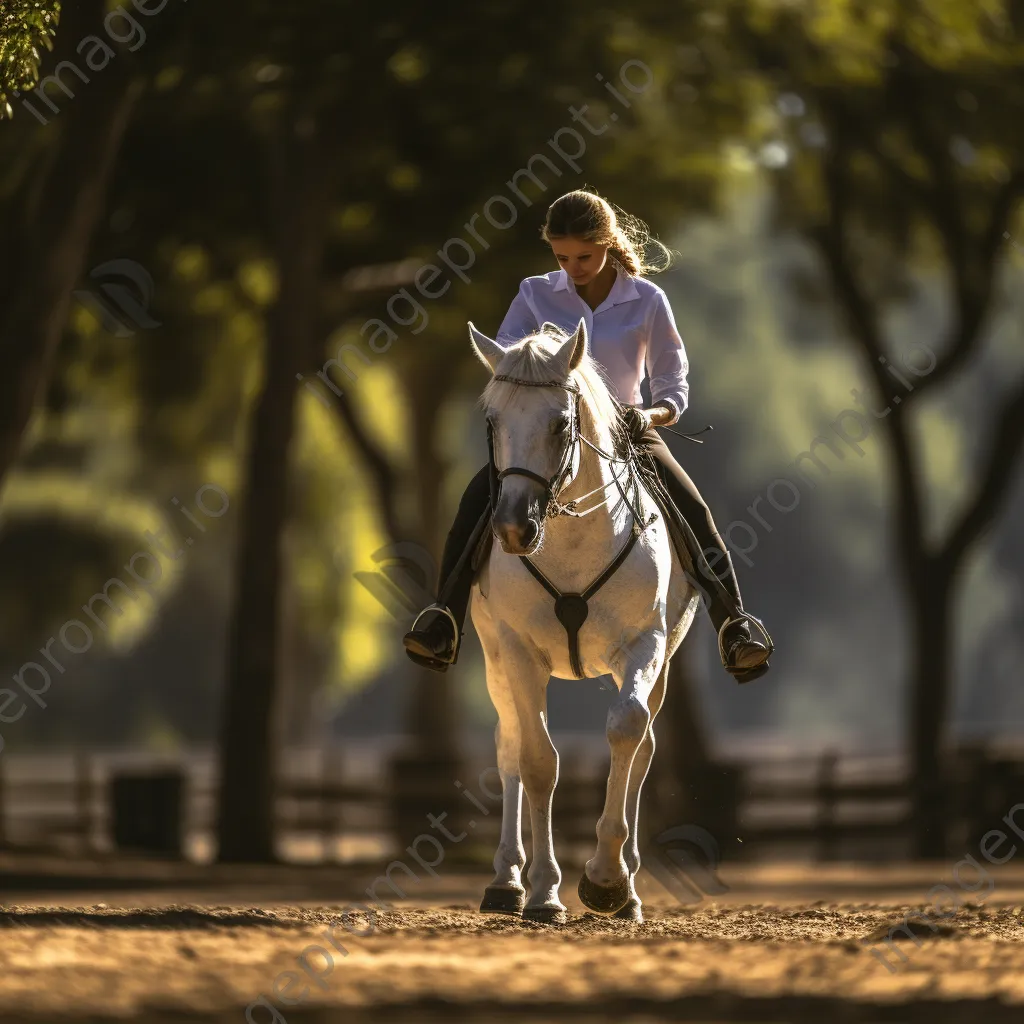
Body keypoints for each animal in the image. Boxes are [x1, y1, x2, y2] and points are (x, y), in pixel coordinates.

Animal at [468, 315, 700, 925]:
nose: (513, 528)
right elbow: (536, 760)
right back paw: (506, 881)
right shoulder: (519, 652)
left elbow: (625, 730)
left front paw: (606, 880)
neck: (571, 538)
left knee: (644, 746)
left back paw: (628, 888)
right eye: (492, 421)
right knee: (507, 744)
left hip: (661, 663)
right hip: (495, 660)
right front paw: (545, 893)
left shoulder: (643, 647)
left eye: (560, 423)